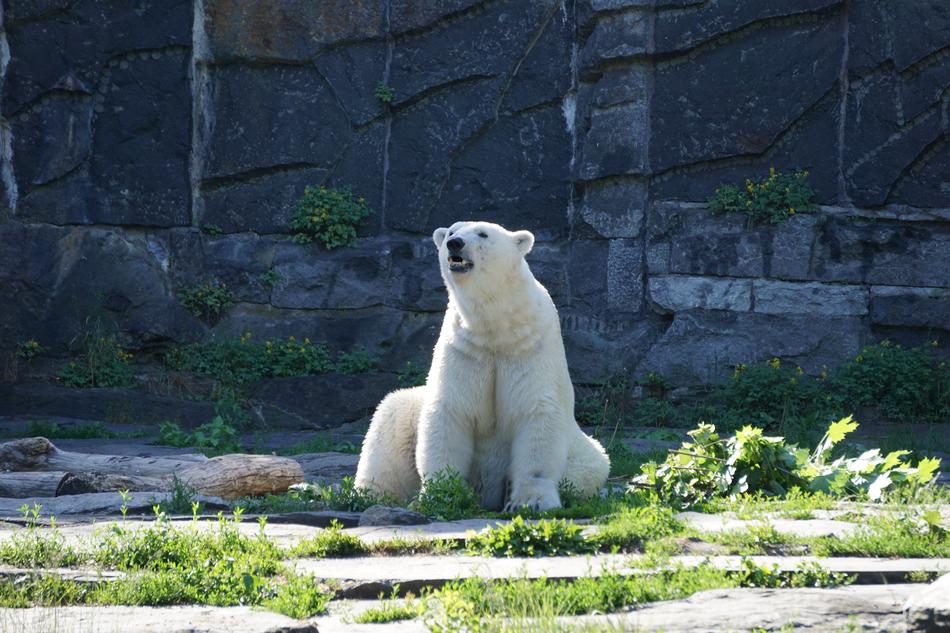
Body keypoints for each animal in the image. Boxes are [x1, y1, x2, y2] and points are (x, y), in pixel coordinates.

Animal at [354, 221, 610, 511]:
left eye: (483, 234)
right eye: (451, 231)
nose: (455, 243)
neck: (496, 325)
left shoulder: (531, 347)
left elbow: (536, 412)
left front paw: (529, 502)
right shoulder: (464, 349)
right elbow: (450, 412)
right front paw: (439, 495)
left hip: (586, 458)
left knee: (590, 468)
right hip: (407, 413)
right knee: (389, 421)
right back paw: (367, 495)